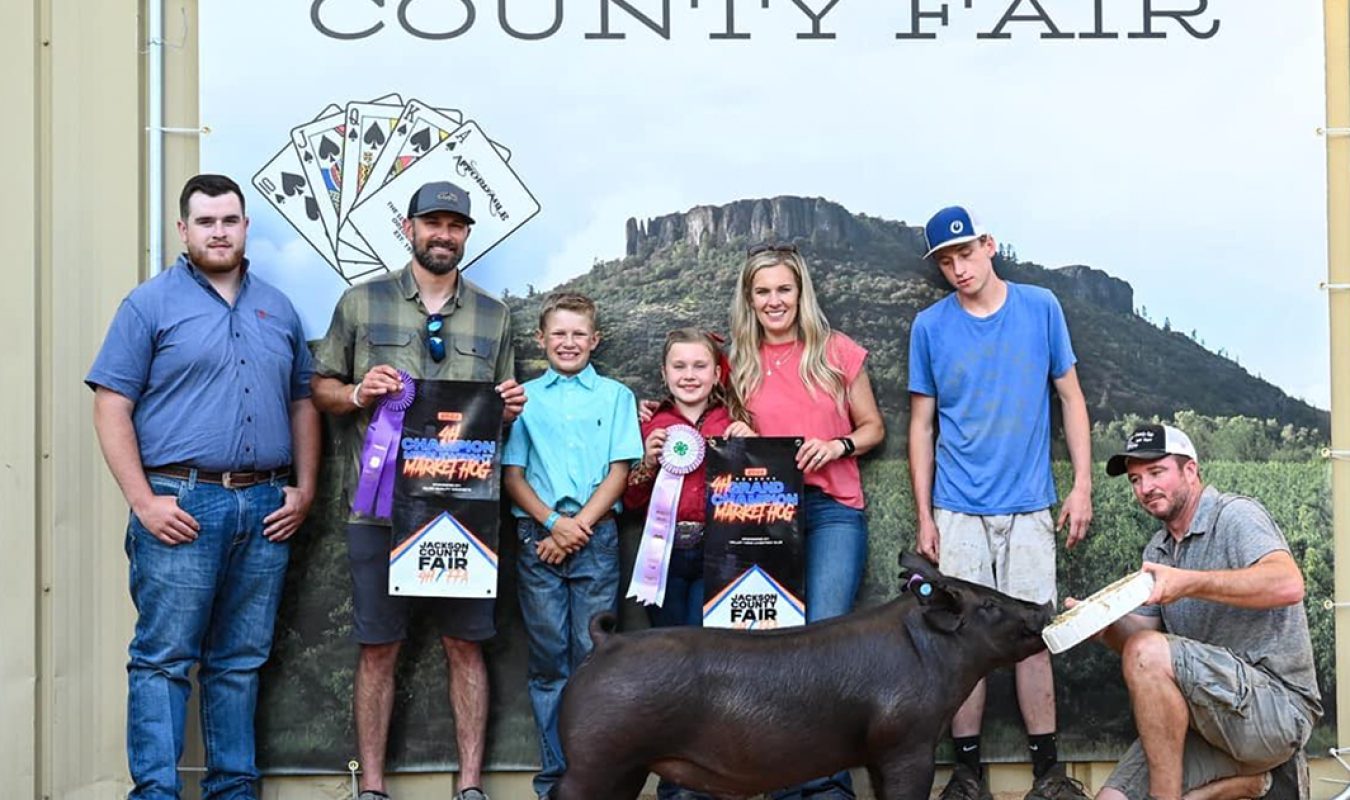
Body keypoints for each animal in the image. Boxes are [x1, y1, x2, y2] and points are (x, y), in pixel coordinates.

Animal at [550, 553, 1053, 798]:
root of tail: (605, 643)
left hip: (625, 768)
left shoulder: (876, 752)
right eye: (989, 605)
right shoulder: (906, 743)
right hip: (596, 757)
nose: (1042, 606)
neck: (930, 656)